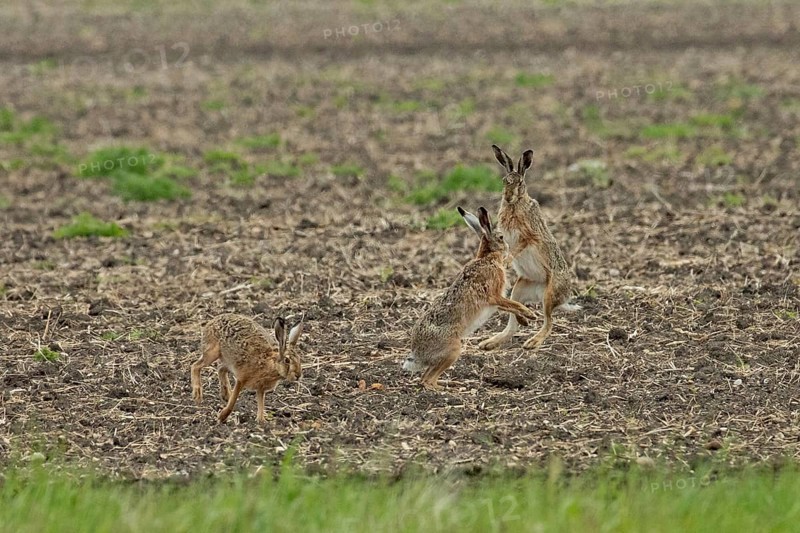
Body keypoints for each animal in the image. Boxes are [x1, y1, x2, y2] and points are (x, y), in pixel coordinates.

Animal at [403, 206, 536, 389]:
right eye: (501, 237)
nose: (508, 246)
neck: (487, 258)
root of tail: (417, 355)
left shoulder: (494, 302)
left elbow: (510, 306)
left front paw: (524, 320)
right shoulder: (493, 295)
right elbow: (513, 304)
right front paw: (531, 315)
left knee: (425, 376)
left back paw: (451, 383)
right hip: (453, 350)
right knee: (427, 380)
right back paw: (446, 389)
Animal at [478, 144, 579, 352]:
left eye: (520, 183)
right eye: (504, 181)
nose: (508, 197)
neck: (515, 204)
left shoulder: (529, 236)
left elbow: (519, 246)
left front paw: (507, 261)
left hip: (550, 293)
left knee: (549, 322)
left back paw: (533, 342)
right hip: (519, 288)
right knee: (513, 322)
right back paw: (490, 342)